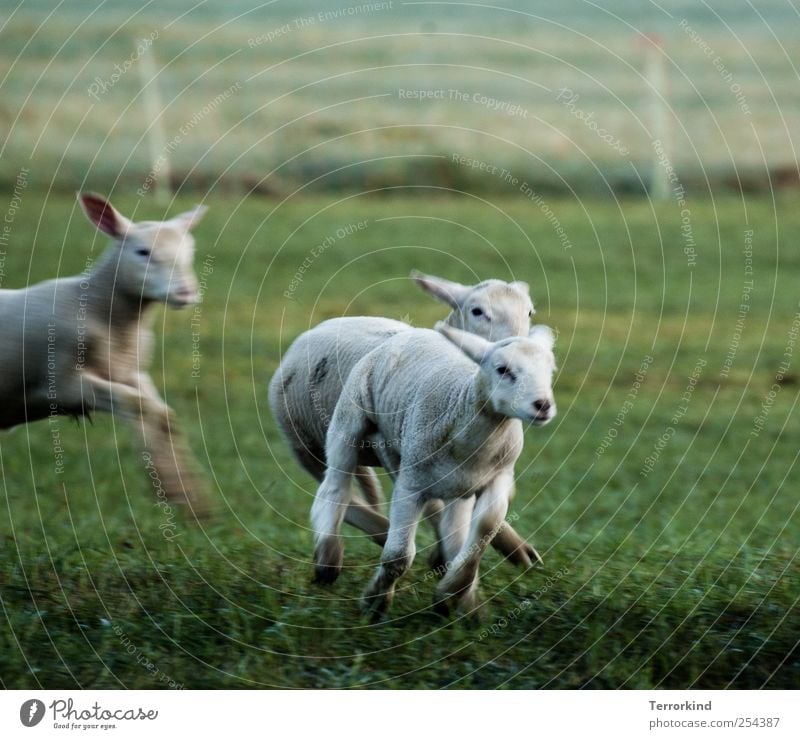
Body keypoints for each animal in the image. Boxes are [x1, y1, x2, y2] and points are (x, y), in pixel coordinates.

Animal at [0, 191, 212, 516]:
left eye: (190, 251)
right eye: (142, 252)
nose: (186, 292)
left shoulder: (130, 372)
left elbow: (163, 416)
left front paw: (187, 498)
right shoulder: (61, 384)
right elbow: (138, 405)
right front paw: (175, 491)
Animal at [270, 272, 544, 568]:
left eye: (529, 311)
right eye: (477, 311)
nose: (517, 348)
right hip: (305, 444)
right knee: (341, 492)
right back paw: (376, 533)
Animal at [310, 324, 556, 620]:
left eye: (551, 370)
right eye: (503, 369)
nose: (543, 405)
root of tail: (413, 330)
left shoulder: (498, 477)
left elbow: (483, 529)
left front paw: (452, 594)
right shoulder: (411, 486)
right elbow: (398, 555)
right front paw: (374, 603)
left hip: (415, 461)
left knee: (452, 529)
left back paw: (464, 598)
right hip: (351, 417)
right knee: (335, 485)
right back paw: (328, 558)